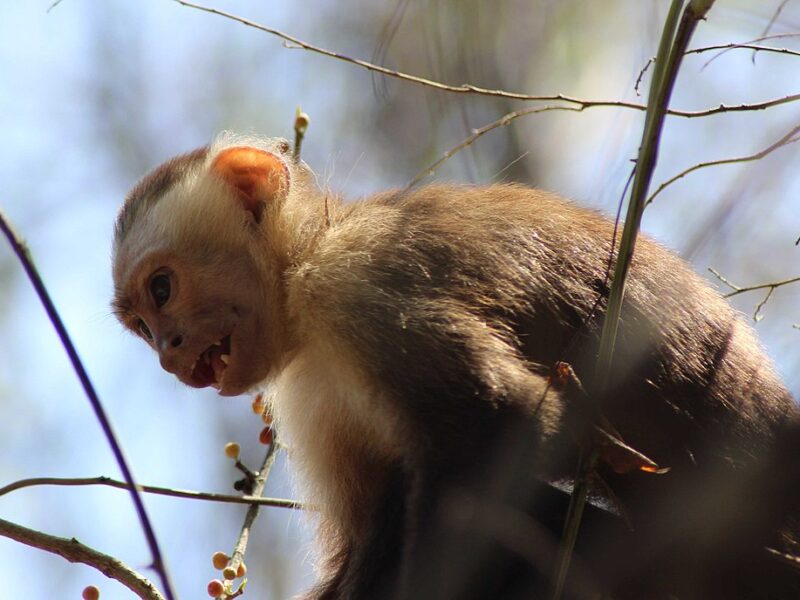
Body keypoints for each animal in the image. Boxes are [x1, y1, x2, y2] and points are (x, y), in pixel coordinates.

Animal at [112, 132, 800, 600]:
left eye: (163, 291)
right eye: (141, 327)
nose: (169, 350)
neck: (304, 263)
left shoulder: (355, 283)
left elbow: (502, 422)